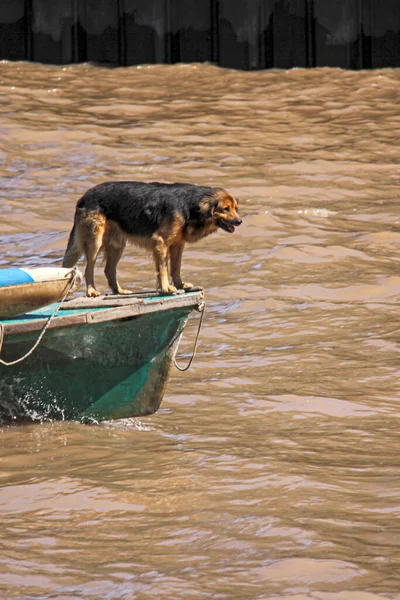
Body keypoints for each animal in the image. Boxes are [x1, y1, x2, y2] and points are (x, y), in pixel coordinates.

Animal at [62, 182, 241, 296]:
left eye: (235, 209)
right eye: (225, 209)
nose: (240, 221)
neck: (191, 206)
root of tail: (84, 196)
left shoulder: (177, 244)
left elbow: (175, 268)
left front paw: (180, 285)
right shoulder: (160, 241)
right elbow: (163, 269)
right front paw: (166, 288)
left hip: (117, 244)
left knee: (109, 270)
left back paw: (119, 291)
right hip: (95, 241)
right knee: (89, 269)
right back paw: (91, 291)